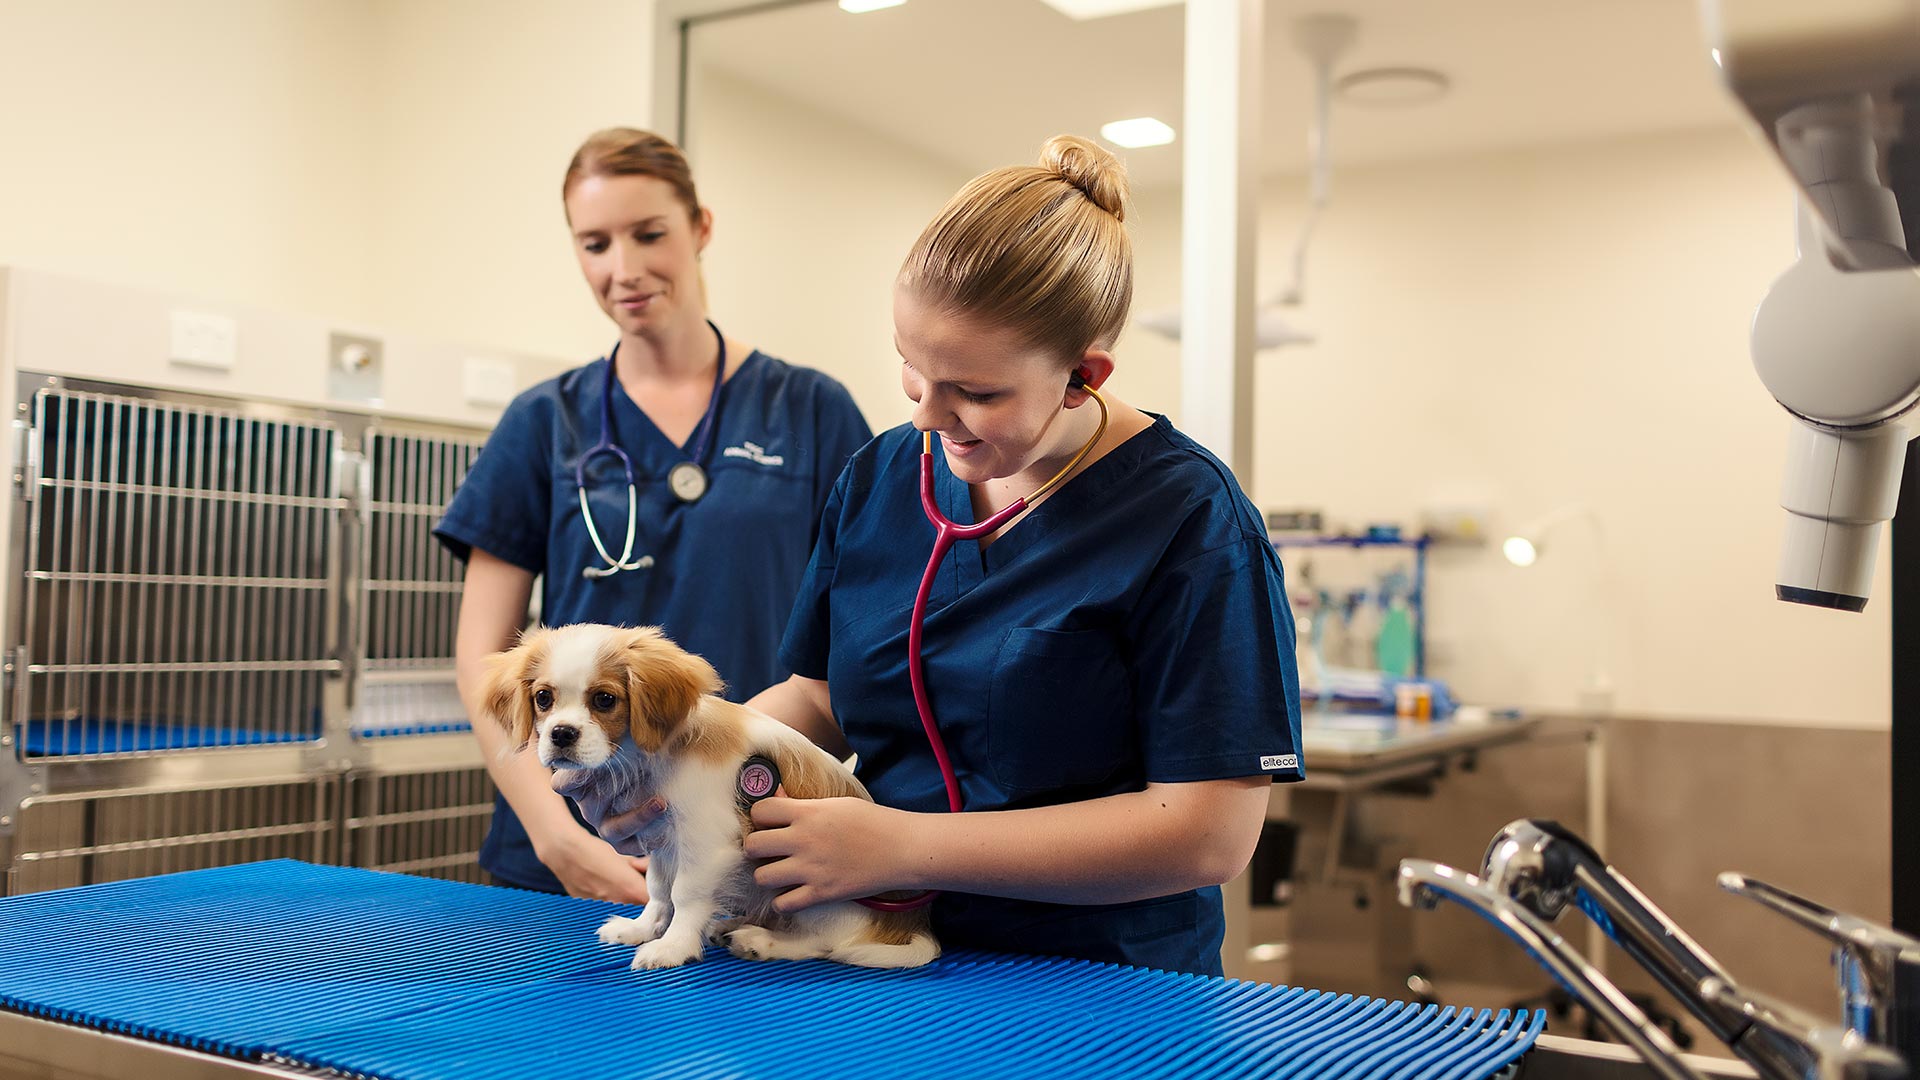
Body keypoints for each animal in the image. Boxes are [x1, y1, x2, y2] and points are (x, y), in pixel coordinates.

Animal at [483, 622, 940, 968]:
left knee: (827, 944)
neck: (648, 757)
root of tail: (907, 928)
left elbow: (684, 895)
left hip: (815, 894)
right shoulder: (663, 840)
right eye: (543, 698)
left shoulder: (705, 844)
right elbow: (658, 890)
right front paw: (643, 929)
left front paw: (672, 946)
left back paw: (762, 941)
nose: (561, 734)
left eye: (605, 699)